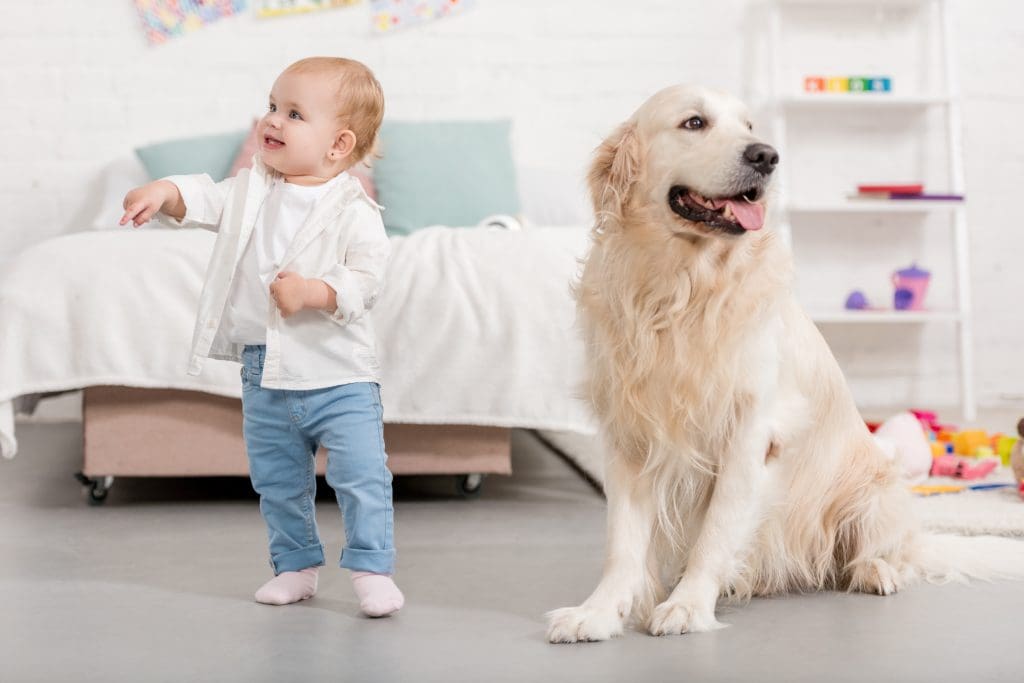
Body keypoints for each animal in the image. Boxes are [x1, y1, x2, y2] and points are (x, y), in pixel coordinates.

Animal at [548, 82, 1024, 643]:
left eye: (750, 127)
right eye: (694, 123)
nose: (766, 156)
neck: (681, 290)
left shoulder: (750, 433)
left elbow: (715, 533)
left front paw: (687, 605)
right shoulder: (628, 433)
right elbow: (622, 543)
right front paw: (598, 612)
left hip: (875, 489)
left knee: (891, 554)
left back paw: (875, 571)